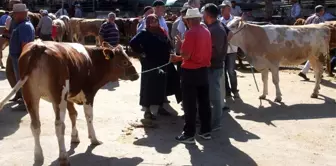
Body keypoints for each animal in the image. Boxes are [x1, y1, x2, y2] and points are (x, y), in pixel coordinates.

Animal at [0, 40, 139, 166]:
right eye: (125, 61)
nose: (137, 75)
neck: (92, 61)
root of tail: (38, 46)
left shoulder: (68, 97)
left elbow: (73, 114)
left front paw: (75, 137)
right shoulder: (88, 93)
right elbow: (89, 116)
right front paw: (93, 139)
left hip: (31, 96)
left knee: (35, 125)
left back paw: (38, 157)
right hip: (58, 96)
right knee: (59, 125)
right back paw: (63, 157)